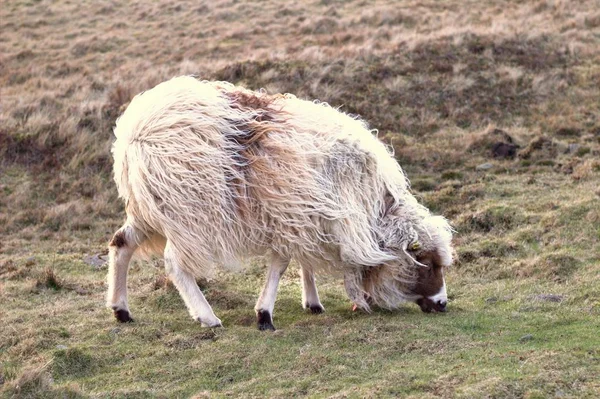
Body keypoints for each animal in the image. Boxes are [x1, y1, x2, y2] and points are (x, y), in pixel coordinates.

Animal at [108, 75, 454, 332]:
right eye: (427, 262)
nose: (443, 304)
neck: (373, 208)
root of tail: (134, 132)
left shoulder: (306, 216)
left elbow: (303, 261)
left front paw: (312, 302)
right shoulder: (300, 216)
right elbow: (283, 264)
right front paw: (265, 315)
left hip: (148, 209)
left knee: (121, 243)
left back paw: (120, 310)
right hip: (190, 212)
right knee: (174, 263)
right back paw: (207, 317)